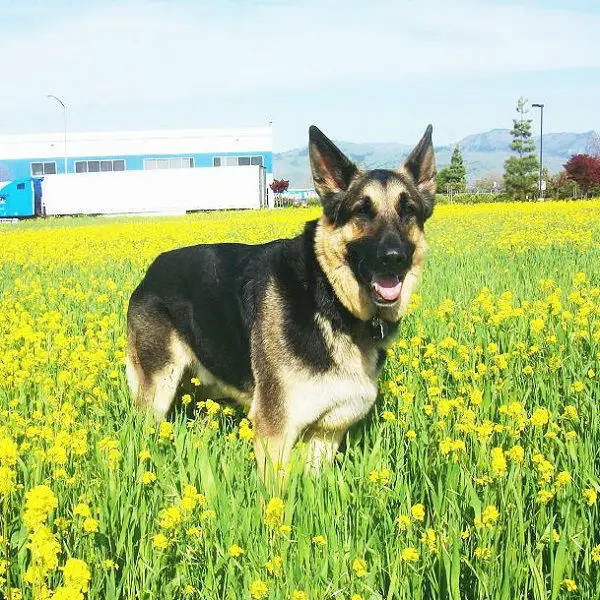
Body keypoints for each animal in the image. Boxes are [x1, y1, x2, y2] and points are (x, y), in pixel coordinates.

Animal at [126, 125, 436, 482]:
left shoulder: (327, 434)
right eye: (362, 210)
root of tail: (153, 269)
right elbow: (278, 494)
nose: (393, 258)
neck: (327, 297)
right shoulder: (275, 432)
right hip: (158, 390)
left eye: (408, 210)